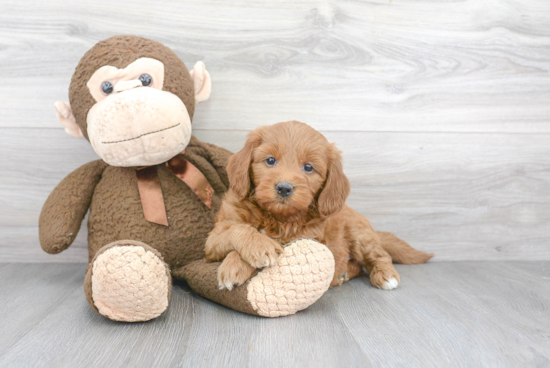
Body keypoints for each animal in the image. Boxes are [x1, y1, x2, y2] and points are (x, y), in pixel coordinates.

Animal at [205, 121, 434, 290]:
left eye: (308, 167)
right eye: (270, 161)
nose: (284, 188)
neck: (276, 217)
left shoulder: (304, 240)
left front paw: (240, 262)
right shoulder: (213, 240)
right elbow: (239, 229)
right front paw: (255, 250)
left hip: (361, 236)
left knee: (380, 256)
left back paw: (386, 276)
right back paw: (343, 274)